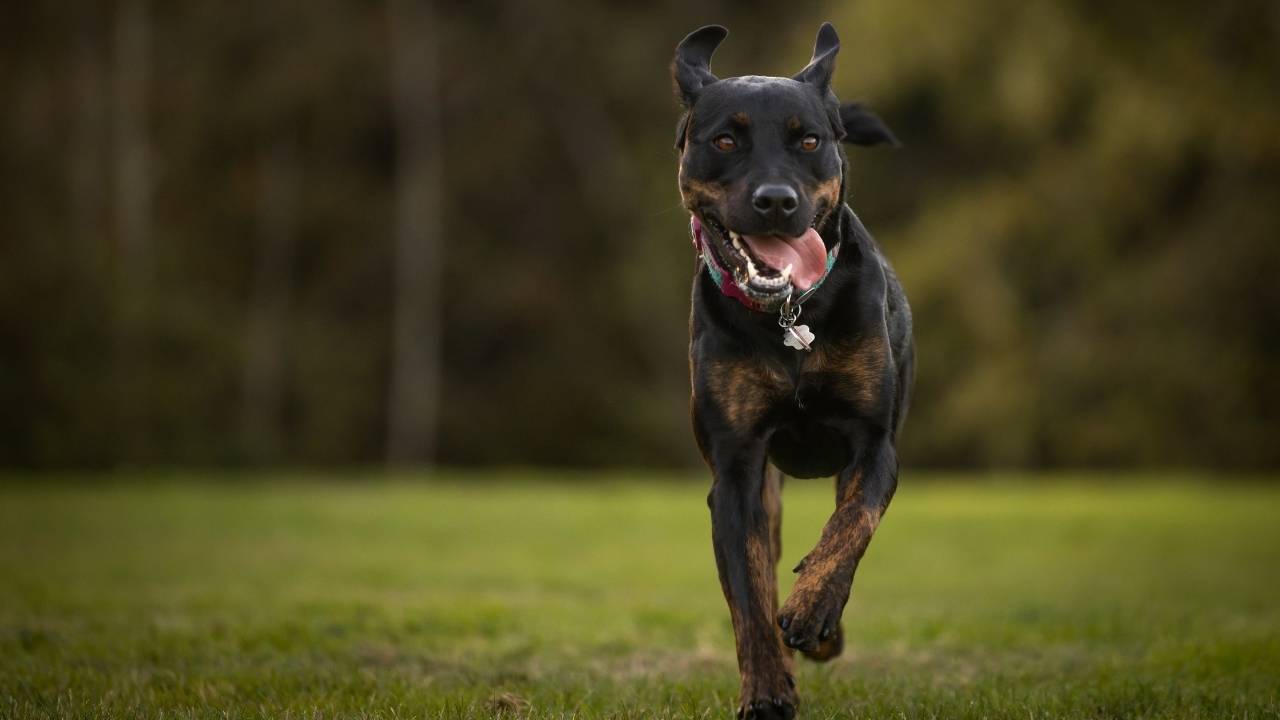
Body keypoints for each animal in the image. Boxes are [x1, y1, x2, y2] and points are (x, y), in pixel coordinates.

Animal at [675, 22, 916, 717]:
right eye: (725, 140)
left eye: (809, 140)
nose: (776, 201)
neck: (790, 315)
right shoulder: (736, 472)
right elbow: (748, 597)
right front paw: (765, 691)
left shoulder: (874, 442)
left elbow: (853, 525)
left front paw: (813, 612)